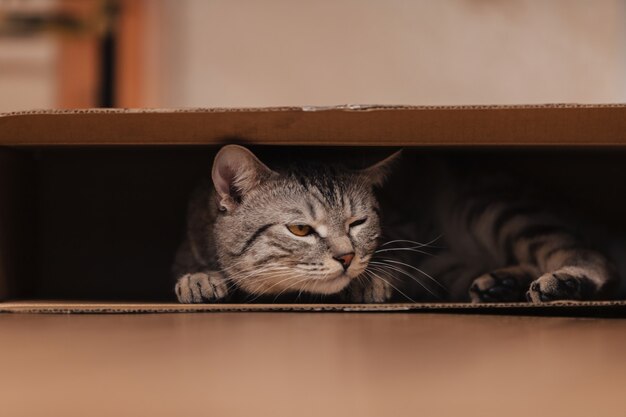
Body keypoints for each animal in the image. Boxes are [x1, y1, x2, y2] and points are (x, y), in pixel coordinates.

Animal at [173, 145, 616, 302]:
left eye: (358, 222)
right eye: (300, 229)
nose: (346, 258)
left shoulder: (411, 236)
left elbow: (394, 263)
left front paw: (370, 282)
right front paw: (199, 278)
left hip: (493, 210)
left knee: (590, 255)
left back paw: (564, 281)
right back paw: (500, 283)